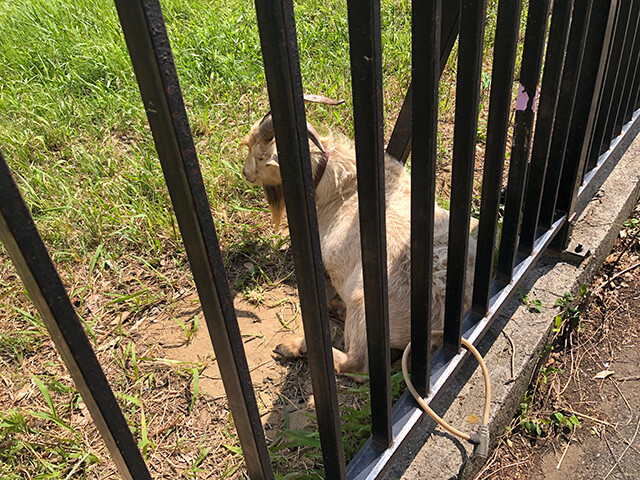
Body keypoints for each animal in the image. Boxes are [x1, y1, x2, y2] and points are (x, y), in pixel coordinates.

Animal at [242, 114, 478, 374]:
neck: (342, 186)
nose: (245, 173)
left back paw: (294, 347)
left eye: (260, 156)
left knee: (358, 363)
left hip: (362, 303)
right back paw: (334, 307)